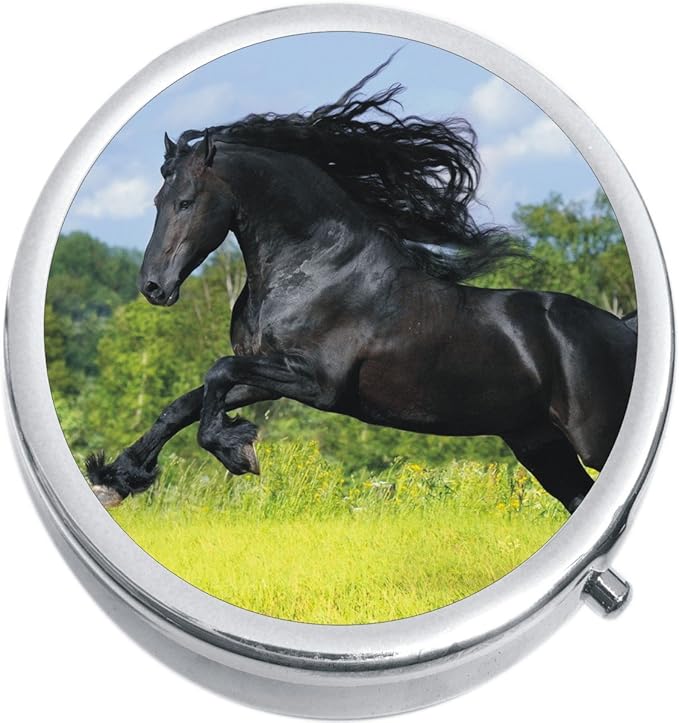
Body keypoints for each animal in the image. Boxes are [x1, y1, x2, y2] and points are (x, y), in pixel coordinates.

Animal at [87, 56, 638, 513]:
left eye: (185, 202)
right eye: (156, 201)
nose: (153, 286)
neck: (315, 269)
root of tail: (626, 331)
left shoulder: (318, 383)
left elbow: (216, 372)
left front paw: (238, 451)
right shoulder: (267, 372)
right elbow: (187, 401)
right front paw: (117, 478)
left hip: (596, 437)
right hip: (540, 444)